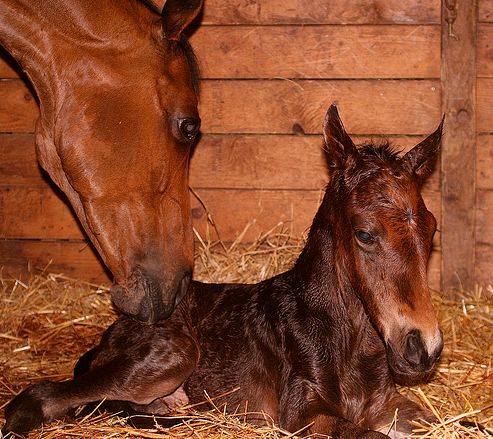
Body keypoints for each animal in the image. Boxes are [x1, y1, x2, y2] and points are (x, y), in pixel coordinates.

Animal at [2, 105, 442, 438]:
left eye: (432, 228)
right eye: (364, 233)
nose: (424, 348)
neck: (348, 338)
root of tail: (113, 331)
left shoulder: (388, 404)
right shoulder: (301, 415)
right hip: (177, 351)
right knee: (44, 396)